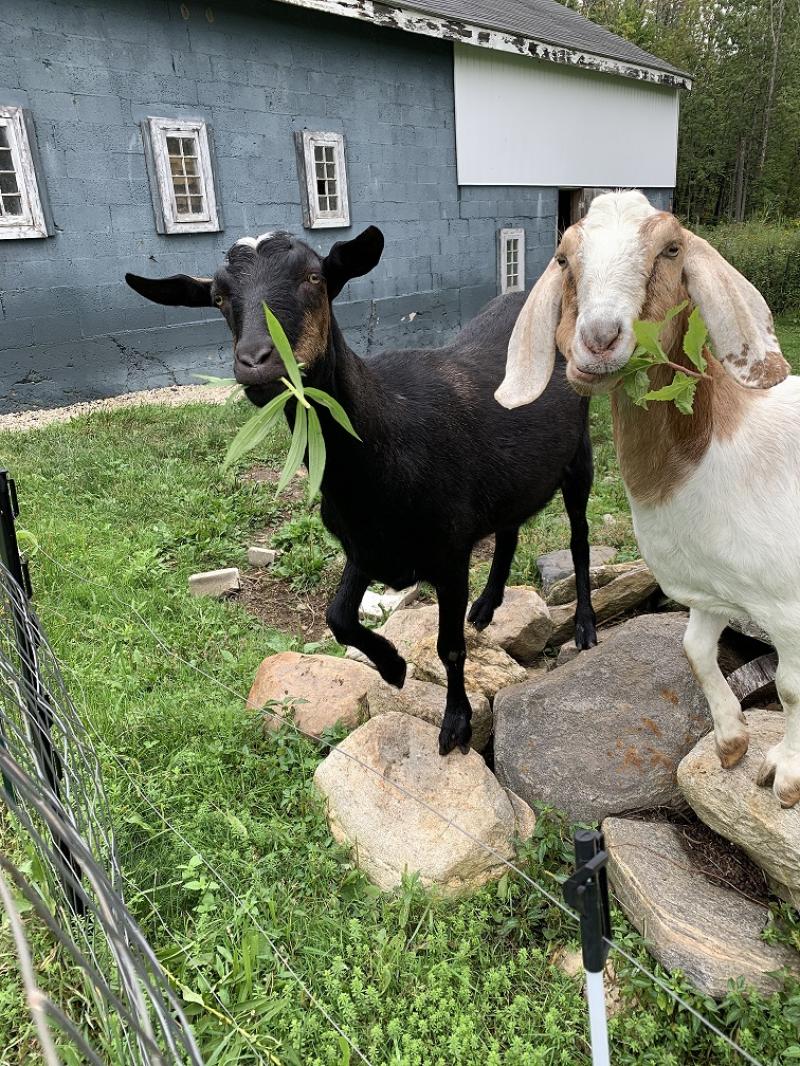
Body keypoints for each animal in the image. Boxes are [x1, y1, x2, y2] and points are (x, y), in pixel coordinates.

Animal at [125, 226, 597, 755]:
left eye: (315, 277)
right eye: (219, 297)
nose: (256, 363)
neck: (387, 438)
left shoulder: (449, 553)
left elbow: (449, 647)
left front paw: (456, 723)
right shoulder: (365, 546)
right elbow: (338, 617)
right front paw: (392, 666)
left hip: (578, 455)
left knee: (579, 539)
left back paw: (584, 626)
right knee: (510, 527)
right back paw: (486, 606)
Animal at [495, 188, 800, 807]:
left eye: (671, 249)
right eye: (564, 258)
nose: (598, 339)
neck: (712, 454)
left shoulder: (790, 607)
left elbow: (789, 687)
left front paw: (785, 774)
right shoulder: (712, 591)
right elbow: (695, 652)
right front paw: (731, 742)